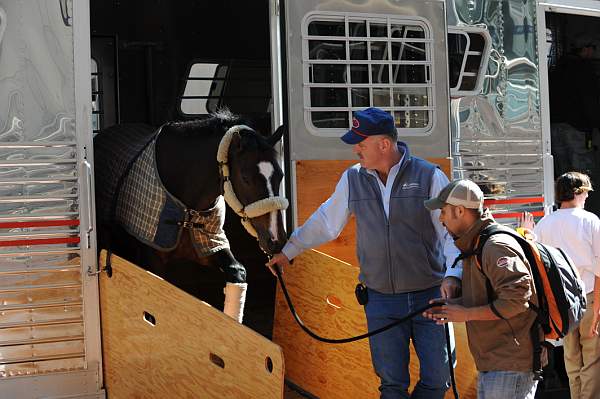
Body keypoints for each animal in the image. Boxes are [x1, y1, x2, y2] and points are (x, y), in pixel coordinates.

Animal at [94, 111, 288, 324]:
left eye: (280, 175)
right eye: (245, 178)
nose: (276, 239)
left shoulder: (210, 244)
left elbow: (237, 271)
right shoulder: (153, 259)